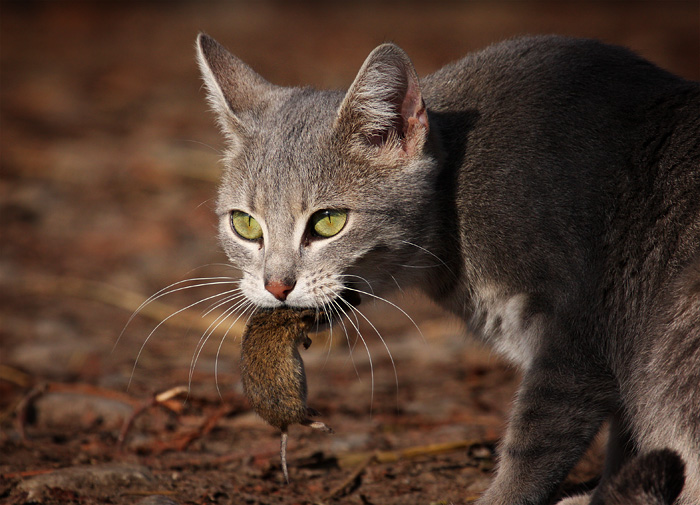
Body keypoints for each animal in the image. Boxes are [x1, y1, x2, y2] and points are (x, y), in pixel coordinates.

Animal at [196, 32, 700, 504]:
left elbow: (534, 445)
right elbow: (627, 442)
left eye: (328, 222)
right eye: (244, 224)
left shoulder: (578, 336)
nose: (276, 286)